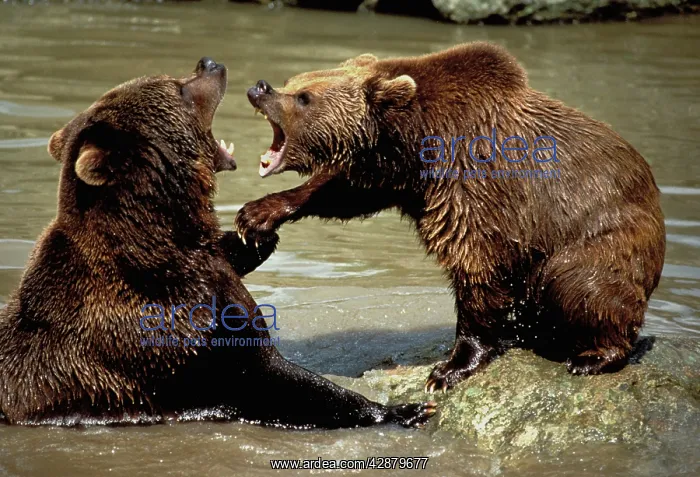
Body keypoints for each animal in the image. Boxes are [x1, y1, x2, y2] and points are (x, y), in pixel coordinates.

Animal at [0, 57, 437, 428]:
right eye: (178, 87)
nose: (209, 63)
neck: (157, 244)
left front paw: (255, 230)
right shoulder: (175, 334)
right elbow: (274, 382)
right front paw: (404, 409)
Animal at [235, 42, 666, 392]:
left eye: (304, 97)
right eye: (294, 81)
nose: (260, 87)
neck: (415, 137)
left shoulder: (473, 180)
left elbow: (476, 264)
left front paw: (449, 369)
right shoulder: (401, 173)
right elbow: (346, 192)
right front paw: (256, 214)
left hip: (601, 234)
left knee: (580, 283)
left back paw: (593, 356)